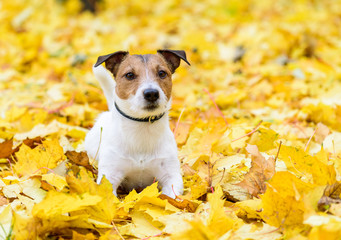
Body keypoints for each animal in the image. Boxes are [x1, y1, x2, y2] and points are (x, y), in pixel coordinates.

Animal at [82, 49, 189, 198]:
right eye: (129, 75)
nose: (151, 93)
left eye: (162, 73)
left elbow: (170, 197)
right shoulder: (109, 176)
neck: (142, 128)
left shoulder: (172, 176)